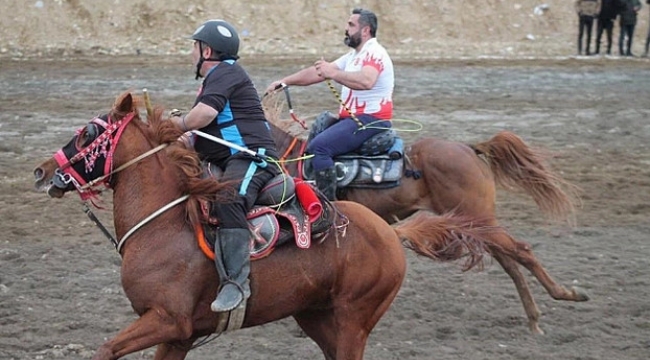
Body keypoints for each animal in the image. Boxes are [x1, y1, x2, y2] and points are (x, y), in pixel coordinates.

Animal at [33, 91, 494, 358]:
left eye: (89, 132)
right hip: (316, 317)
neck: (164, 225)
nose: (42, 171)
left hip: (353, 321)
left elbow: (105, 350)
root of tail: (389, 232)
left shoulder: (166, 321)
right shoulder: (176, 336)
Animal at [264, 97, 588, 334]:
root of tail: (468, 148)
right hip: (477, 221)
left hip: (477, 217)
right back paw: (534, 317)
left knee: (520, 250)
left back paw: (564, 295)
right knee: (509, 260)